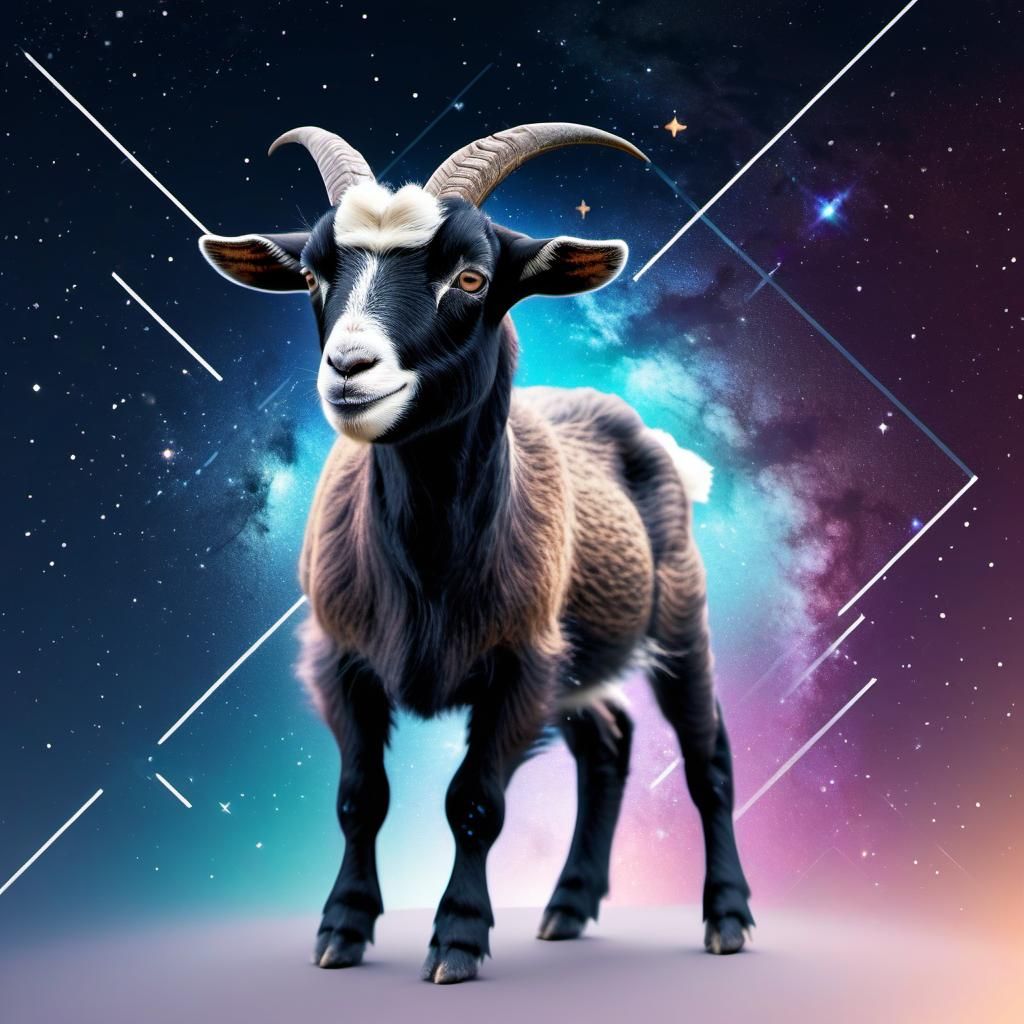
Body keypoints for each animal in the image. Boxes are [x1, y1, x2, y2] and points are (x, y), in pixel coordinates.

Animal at [199, 122, 753, 984]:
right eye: (315, 275)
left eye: (470, 277)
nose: (349, 368)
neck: (428, 566)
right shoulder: (342, 657)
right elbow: (359, 797)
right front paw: (342, 929)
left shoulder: (518, 664)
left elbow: (474, 803)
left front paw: (457, 937)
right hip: (575, 656)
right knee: (610, 744)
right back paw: (568, 907)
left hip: (677, 616)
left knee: (708, 757)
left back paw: (726, 917)